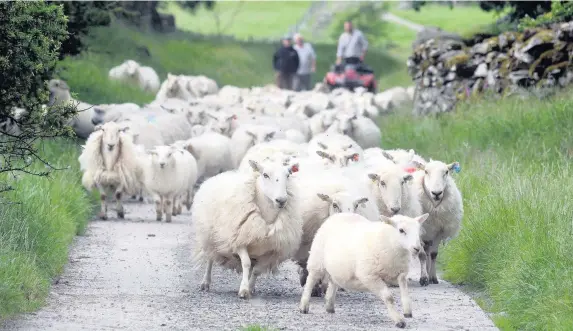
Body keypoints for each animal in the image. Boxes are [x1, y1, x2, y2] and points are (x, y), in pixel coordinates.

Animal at [192, 160, 302, 300]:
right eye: (265, 175)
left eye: (288, 175)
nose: (281, 200)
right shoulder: (239, 241)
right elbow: (246, 263)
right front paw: (244, 290)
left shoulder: (270, 249)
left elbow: (256, 270)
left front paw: (249, 287)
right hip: (209, 236)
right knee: (210, 259)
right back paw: (205, 283)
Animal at [300, 213, 428, 330]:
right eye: (401, 230)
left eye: (418, 231)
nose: (417, 248)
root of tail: (337, 214)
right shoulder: (370, 276)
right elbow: (388, 297)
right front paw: (399, 320)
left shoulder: (400, 274)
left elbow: (405, 293)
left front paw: (407, 312)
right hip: (317, 261)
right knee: (311, 280)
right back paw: (304, 306)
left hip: (336, 268)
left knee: (333, 283)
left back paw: (329, 306)